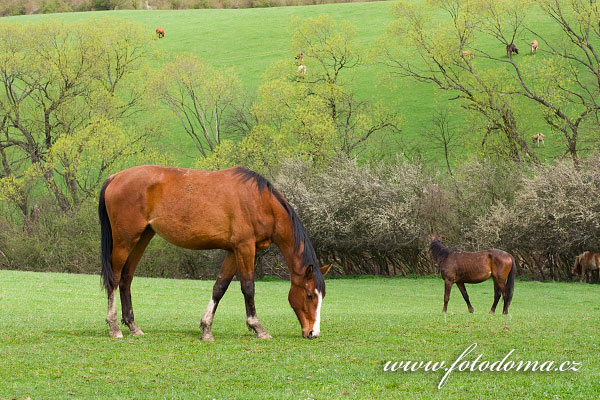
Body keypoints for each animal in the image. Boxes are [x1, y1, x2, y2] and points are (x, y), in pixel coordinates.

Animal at [99, 166, 332, 340]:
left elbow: (220, 287)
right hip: (125, 241)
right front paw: (258, 327)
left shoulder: (233, 251)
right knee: (115, 278)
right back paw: (114, 327)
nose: (313, 333)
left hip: (142, 238)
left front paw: (206, 328)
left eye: (322, 296)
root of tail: (114, 177)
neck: (260, 202)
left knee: (126, 278)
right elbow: (248, 287)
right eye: (309, 295)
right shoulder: (245, 248)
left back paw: (133, 326)